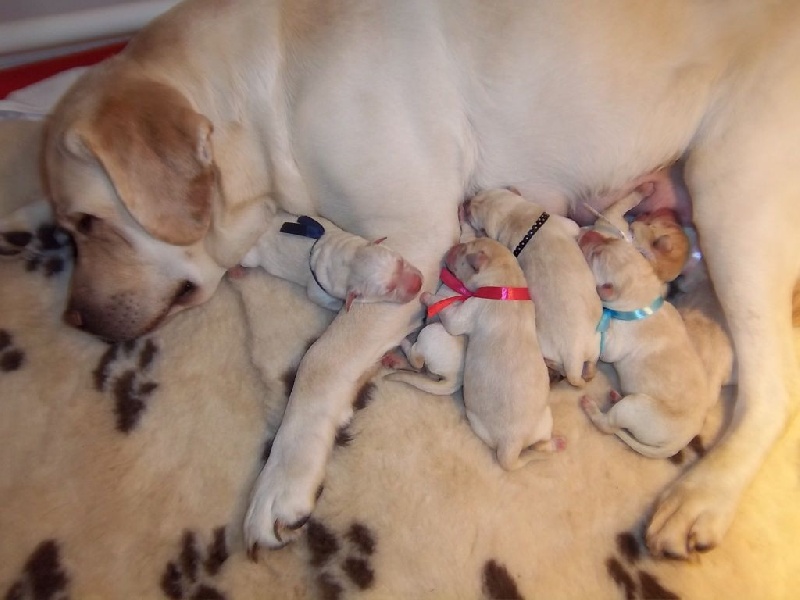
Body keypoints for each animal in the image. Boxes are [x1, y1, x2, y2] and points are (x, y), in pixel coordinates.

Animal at [239, 209, 424, 312]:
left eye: (400, 261)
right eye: (388, 289)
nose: (418, 284)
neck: (347, 260)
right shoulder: (318, 292)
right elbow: (320, 298)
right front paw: (338, 307)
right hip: (251, 257)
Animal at [418, 237, 564, 472]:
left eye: (462, 251)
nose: (453, 245)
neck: (507, 282)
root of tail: (512, 445)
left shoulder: (468, 311)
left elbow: (450, 316)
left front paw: (428, 297)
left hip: (476, 420)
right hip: (544, 420)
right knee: (541, 445)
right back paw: (557, 444)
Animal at [462, 188, 600, 386]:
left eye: (473, 215)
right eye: (479, 194)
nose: (465, 202)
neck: (517, 216)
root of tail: (573, 358)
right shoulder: (564, 222)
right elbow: (575, 227)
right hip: (593, 342)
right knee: (588, 366)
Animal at [576, 230, 712, 460]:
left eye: (595, 255)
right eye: (613, 239)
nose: (589, 232)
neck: (643, 300)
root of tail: (679, 443)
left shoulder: (617, 341)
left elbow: (607, 347)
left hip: (635, 408)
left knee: (608, 426)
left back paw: (592, 408)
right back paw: (615, 396)